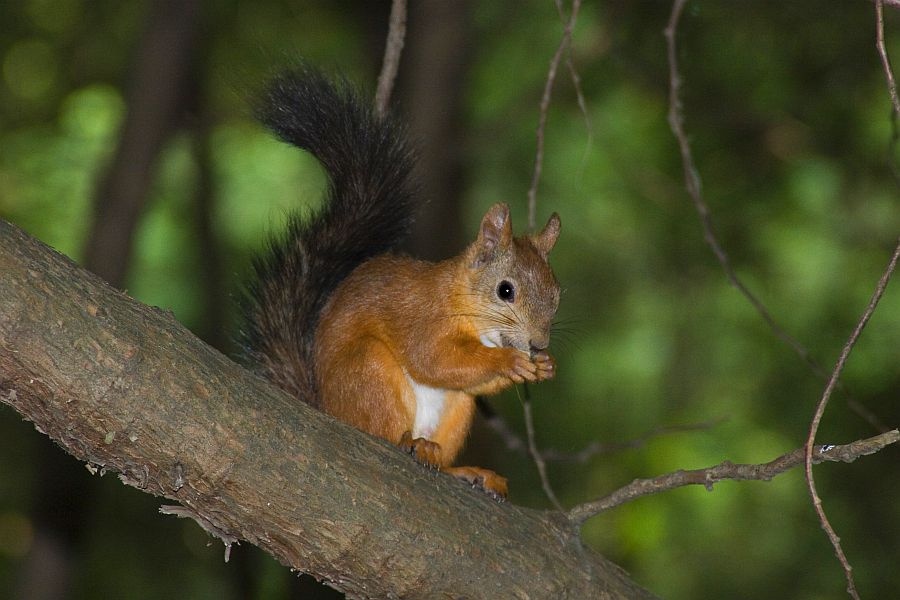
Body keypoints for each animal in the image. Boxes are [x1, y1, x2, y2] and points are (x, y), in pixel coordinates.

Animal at [241, 66, 561, 499]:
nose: (538, 344)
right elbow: (433, 359)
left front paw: (543, 366)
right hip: (368, 371)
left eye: (557, 294)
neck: (461, 302)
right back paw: (410, 443)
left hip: (455, 409)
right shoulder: (420, 316)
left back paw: (463, 470)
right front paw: (510, 361)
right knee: (383, 429)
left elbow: (470, 379)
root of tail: (327, 409)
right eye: (505, 290)